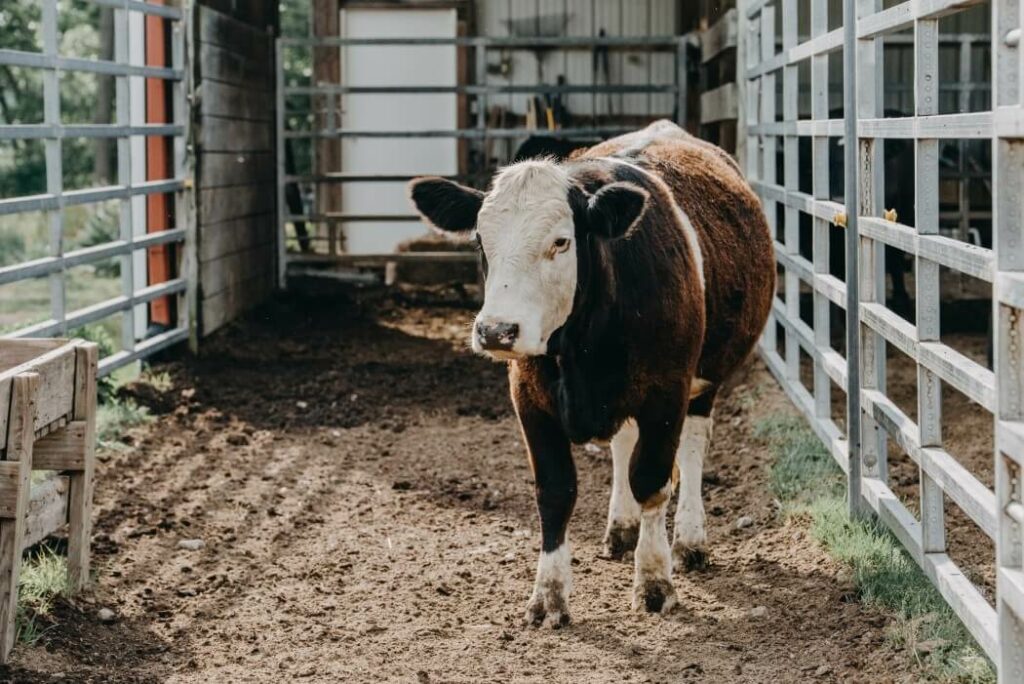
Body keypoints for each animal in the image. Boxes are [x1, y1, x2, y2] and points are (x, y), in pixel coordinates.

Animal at [407, 118, 774, 626]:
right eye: (481, 240)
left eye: (561, 241)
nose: (496, 330)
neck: (582, 346)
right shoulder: (527, 396)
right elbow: (556, 490)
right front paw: (549, 595)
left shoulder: (666, 392)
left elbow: (653, 480)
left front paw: (655, 582)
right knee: (622, 444)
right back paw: (621, 528)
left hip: (705, 380)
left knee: (693, 448)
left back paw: (689, 540)